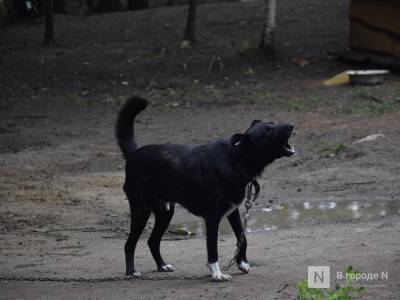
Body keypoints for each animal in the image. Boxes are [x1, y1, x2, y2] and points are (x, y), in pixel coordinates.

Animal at [115, 96, 294, 282]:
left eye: (273, 123)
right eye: (267, 131)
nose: (291, 125)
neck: (235, 159)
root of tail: (133, 153)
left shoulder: (233, 211)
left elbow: (242, 238)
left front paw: (242, 262)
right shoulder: (212, 218)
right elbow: (212, 248)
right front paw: (217, 273)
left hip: (165, 212)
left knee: (152, 241)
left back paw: (162, 266)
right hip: (141, 210)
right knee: (129, 244)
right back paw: (131, 272)